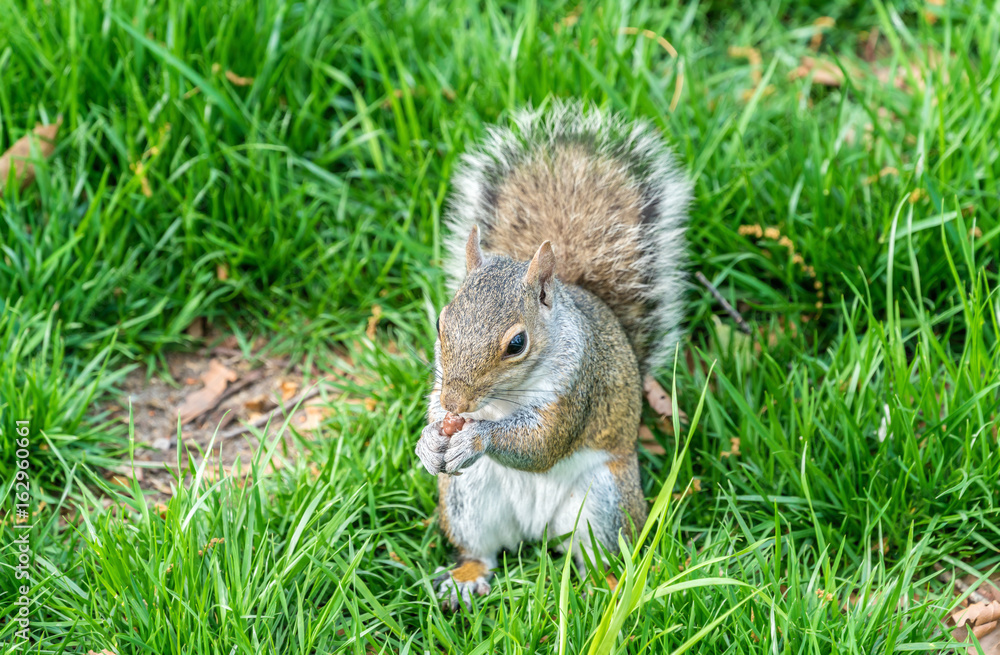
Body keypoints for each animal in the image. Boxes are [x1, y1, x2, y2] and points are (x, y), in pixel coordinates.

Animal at [414, 101, 688, 608]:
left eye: (517, 344)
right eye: (441, 323)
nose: (456, 405)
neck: (501, 401)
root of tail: (536, 531)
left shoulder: (578, 385)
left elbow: (542, 444)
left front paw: (476, 438)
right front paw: (429, 440)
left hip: (604, 502)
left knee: (599, 554)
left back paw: (606, 589)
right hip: (467, 499)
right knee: (483, 550)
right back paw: (467, 578)